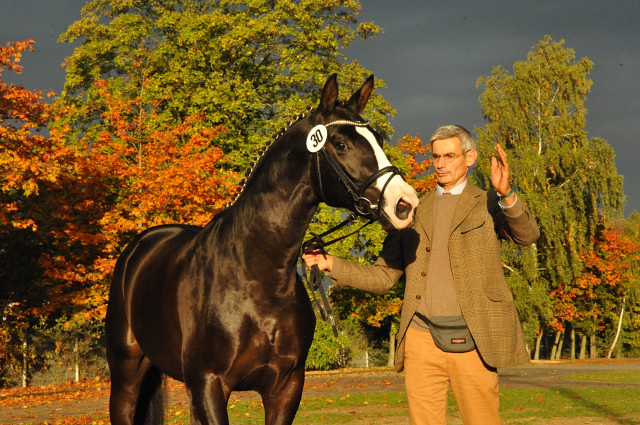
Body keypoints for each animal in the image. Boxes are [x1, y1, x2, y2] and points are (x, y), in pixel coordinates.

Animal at [105, 74, 420, 422]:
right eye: (341, 144)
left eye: (378, 139)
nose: (404, 203)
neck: (254, 276)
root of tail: (138, 248)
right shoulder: (209, 385)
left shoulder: (286, 387)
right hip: (126, 377)